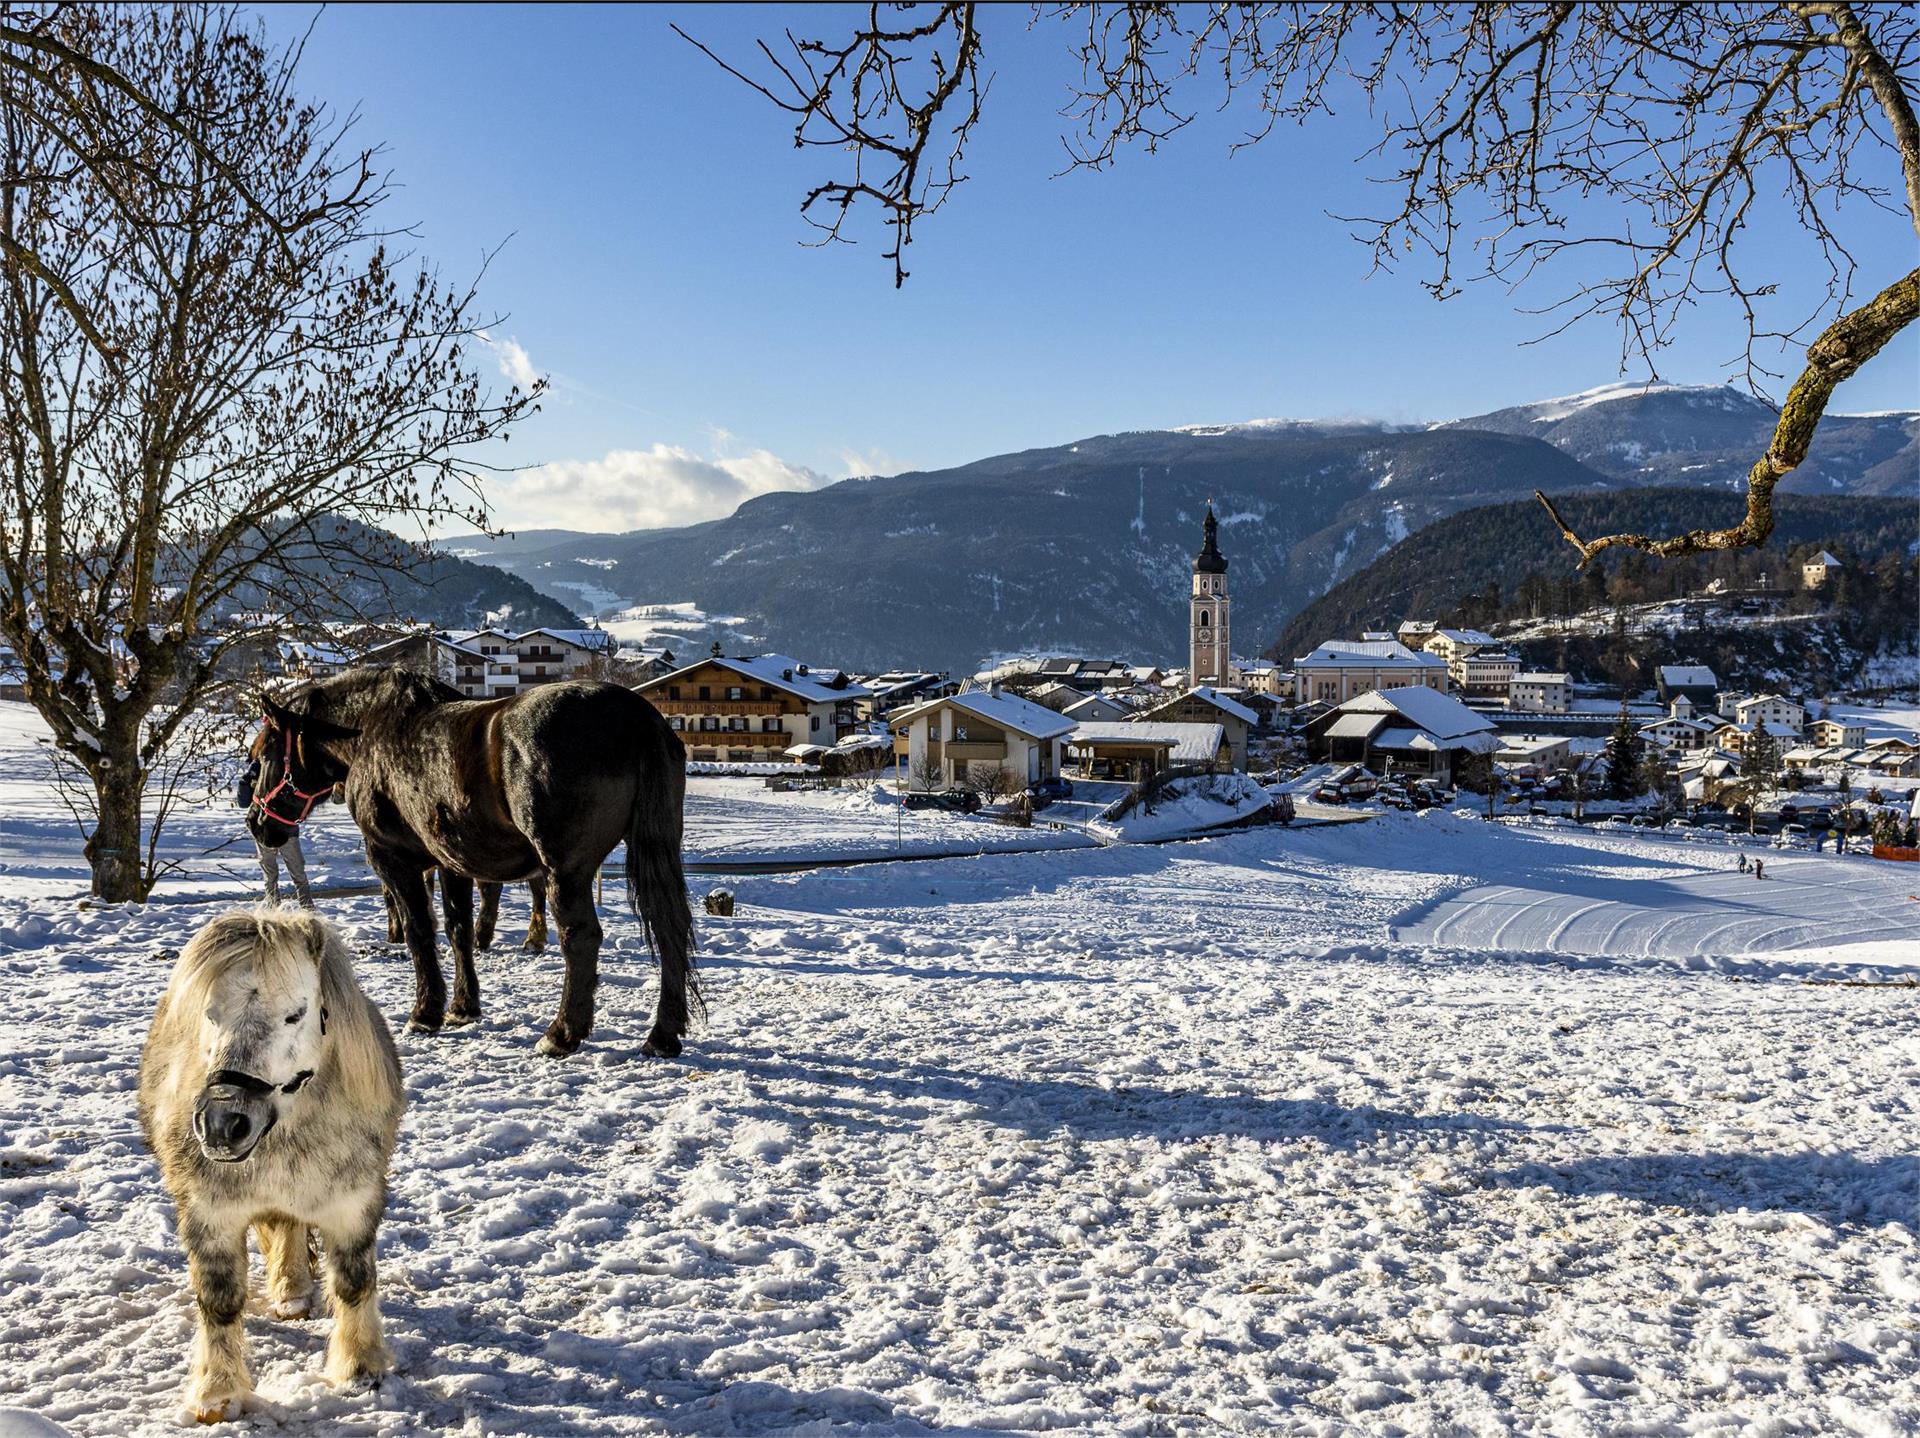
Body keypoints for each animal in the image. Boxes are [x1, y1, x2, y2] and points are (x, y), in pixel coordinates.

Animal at [140, 902, 405, 1420]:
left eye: (294, 1015)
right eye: (210, 1014)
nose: (223, 1123)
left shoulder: (354, 1202)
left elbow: (353, 1281)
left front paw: (359, 1368)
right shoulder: (209, 1213)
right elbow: (219, 1299)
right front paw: (217, 1393)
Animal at [247, 671, 698, 1052]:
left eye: (265, 753)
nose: (257, 822)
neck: (372, 731)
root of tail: (637, 717)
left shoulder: (393, 860)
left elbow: (419, 932)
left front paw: (425, 1012)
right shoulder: (452, 862)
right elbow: (458, 929)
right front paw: (463, 1007)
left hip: (566, 870)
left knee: (581, 938)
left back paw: (562, 1033)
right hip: (654, 848)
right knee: (669, 928)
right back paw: (663, 1034)